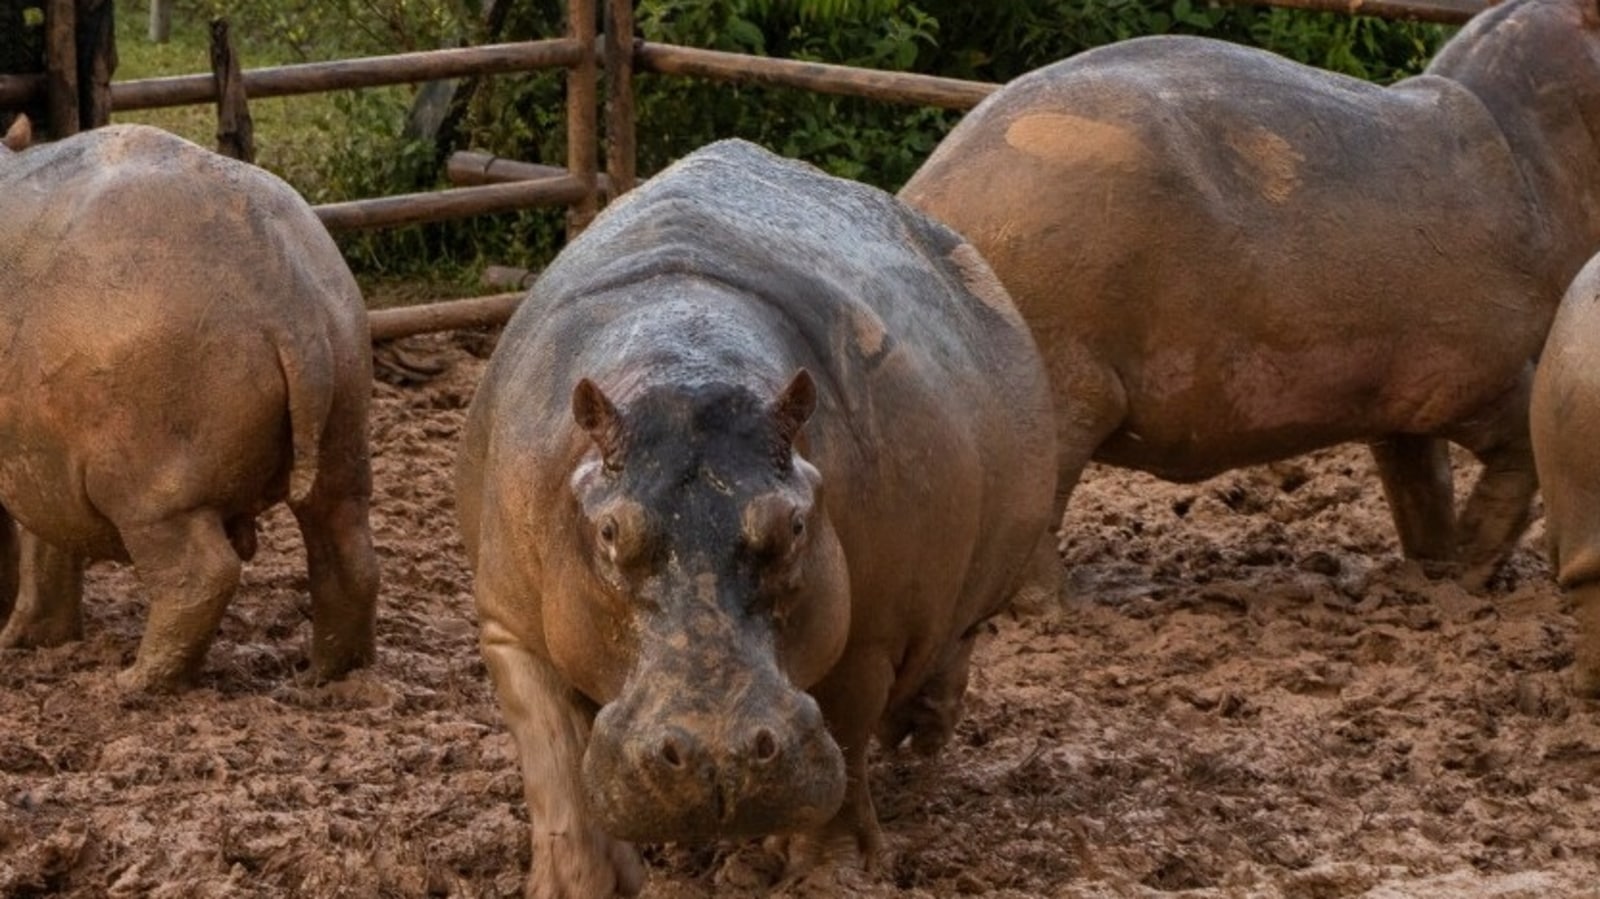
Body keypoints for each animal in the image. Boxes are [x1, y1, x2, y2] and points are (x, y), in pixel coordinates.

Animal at [0, 122, 377, 687]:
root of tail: (288, 298)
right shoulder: (39, 463)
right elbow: (44, 548)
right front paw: (33, 642)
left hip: (150, 489)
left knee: (199, 575)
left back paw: (130, 682)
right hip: (344, 420)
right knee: (347, 552)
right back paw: (324, 678)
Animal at [451, 136, 1056, 889]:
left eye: (793, 524)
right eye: (610, 530)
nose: (718, 755)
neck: (683, 361)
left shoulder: (868, 634)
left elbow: (846, 740)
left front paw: (833, 876)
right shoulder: (509, 625)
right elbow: (554, 758)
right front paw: (574, 885)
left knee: (952, 644)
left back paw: (915, 739)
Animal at [908, 0, 1600, 595]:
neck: (1527, 150)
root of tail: (926, 196)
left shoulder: (1402, 400)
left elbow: (1420, 486)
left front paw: (1434, 574)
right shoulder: (1480, 372)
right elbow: (1521, 449)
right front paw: (1473, 574)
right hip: (1064, 382)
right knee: (1038, 514)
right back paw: (1064, 608)